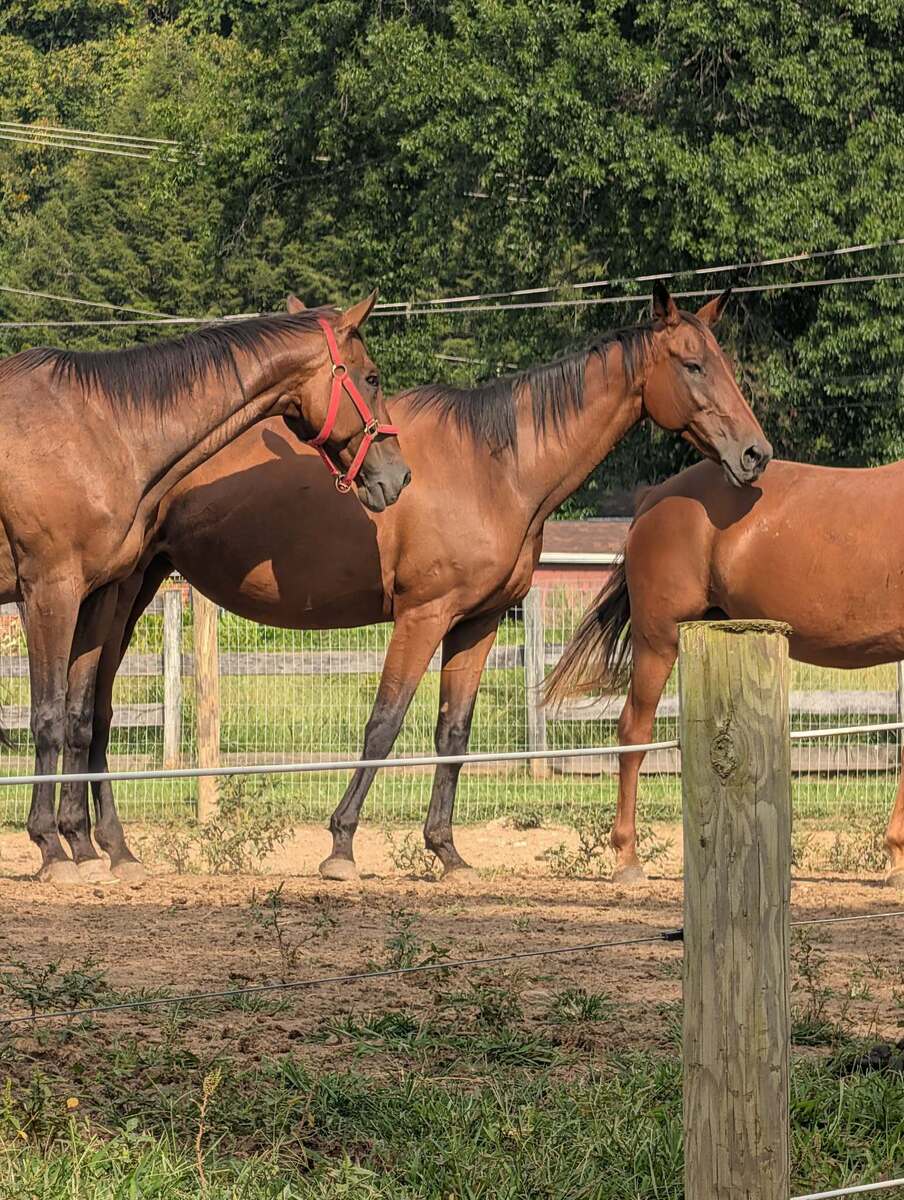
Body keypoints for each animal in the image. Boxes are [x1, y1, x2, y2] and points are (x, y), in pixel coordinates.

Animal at [0, 292, 410, 884]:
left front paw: (80, 844)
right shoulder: (48, 592)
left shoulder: (96, 597)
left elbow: (78, 718)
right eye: (371, 377)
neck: (97, 432)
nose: (396, 477)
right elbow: (49, 717)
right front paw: (51, 849)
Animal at [61, 282, 771, 883]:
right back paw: (96, 845)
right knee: (90, 707)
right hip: (118, 592)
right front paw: (341, 847)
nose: (755, 454)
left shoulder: (478, 624)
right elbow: (385, 723)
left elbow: (452, 733)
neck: (496, 467)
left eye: (723, 362)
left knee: (95, 708)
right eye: (692, 365)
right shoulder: (422, 616)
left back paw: (107, 848)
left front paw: (447, 852)